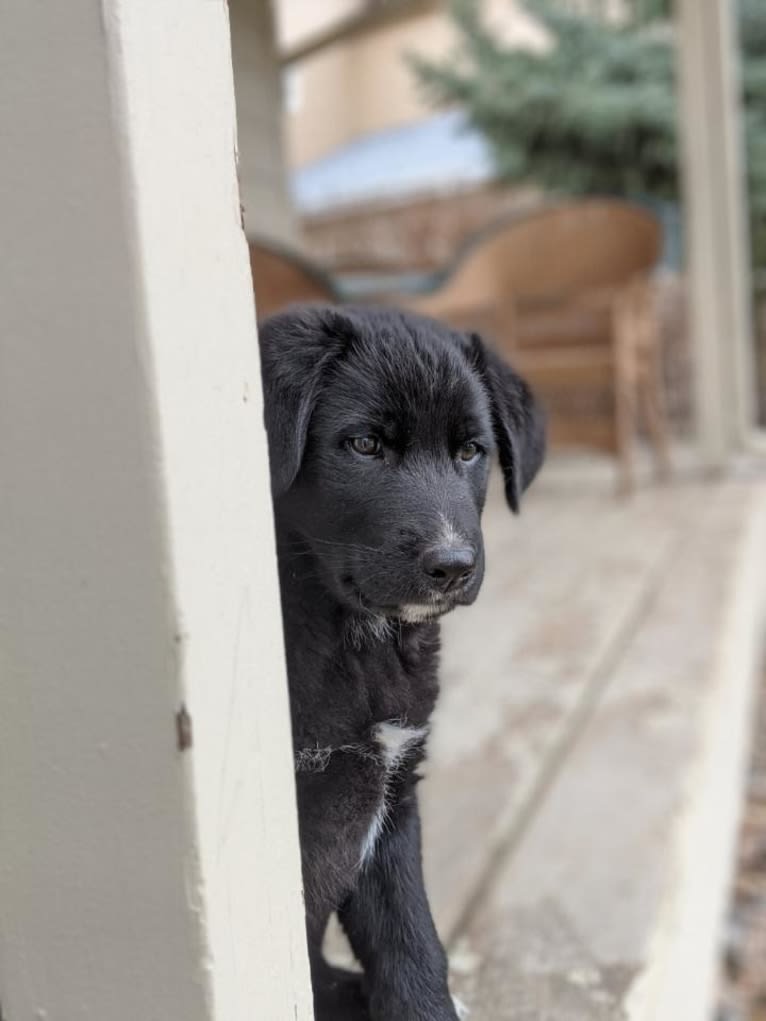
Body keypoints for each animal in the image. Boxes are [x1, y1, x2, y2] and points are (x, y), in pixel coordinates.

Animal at [259, 304, 547, 1021]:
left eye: (470, 450)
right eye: (364, 445)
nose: (453, 566)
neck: (359, 639)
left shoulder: (393, 799)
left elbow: (411, 945)